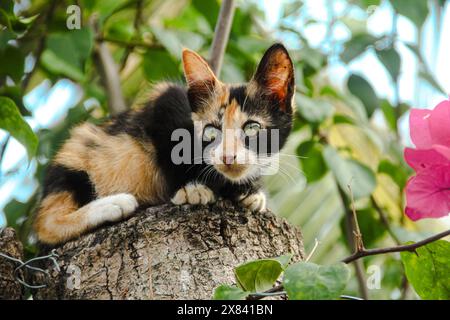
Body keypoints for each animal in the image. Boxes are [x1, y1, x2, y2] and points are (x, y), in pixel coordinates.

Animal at [35, 43, 296, 245]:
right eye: (211, 131)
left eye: (252, 128)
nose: (227, 157)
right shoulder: (167, 101)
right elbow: (169, 151)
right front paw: (192, 189)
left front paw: (250, 191)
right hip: (79, 150)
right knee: (46, 226)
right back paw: (114, 204)